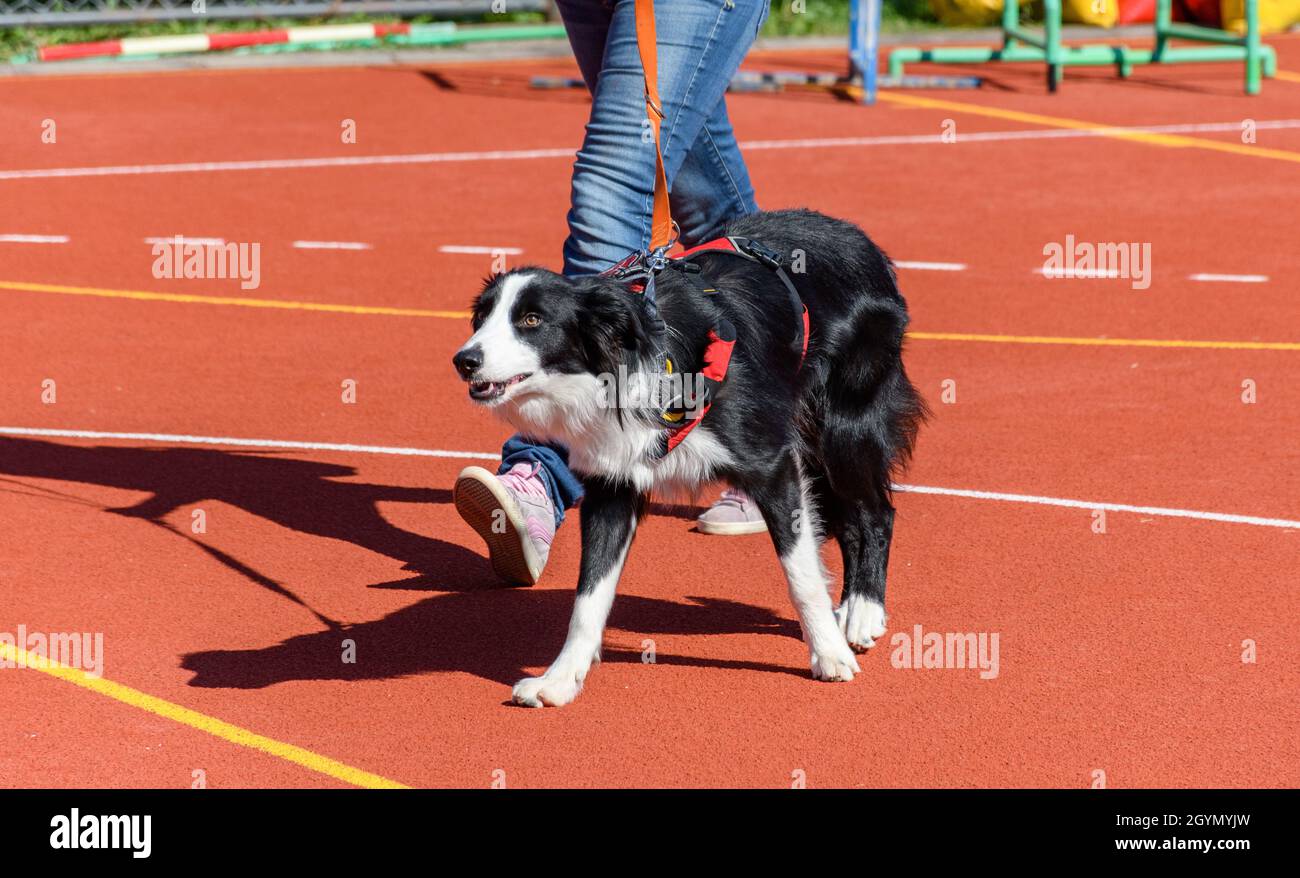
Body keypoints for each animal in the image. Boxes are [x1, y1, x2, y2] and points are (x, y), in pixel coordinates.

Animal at [452, 210, 920, 707]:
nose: (464, 360)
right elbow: (589, 595)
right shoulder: (612, 483)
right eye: (481, 318)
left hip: (846, 425)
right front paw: (559, 679)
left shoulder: (771, 463)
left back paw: (863, 610)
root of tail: (856, 236)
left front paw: (829, 655)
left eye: (532, 320)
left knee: (876, 511)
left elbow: (801, 575)